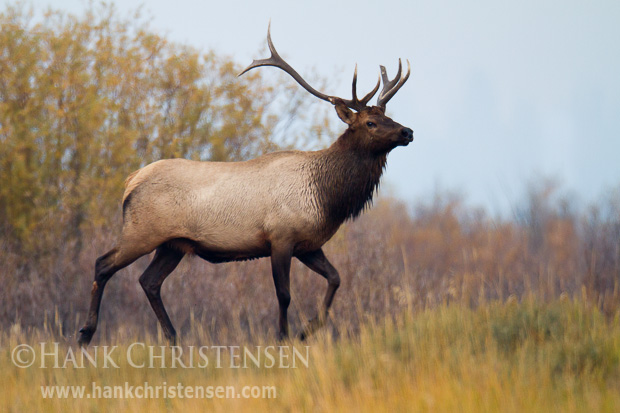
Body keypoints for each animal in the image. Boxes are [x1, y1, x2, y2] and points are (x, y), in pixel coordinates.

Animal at [80, 25, 414, 346]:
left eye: (388, 116)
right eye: (370, 123)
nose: (407, 131)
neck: (326, 197)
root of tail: (130, 181)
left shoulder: (308, 244)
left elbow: (336, 278)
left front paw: (307, 330)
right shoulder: (280, 237)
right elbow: (284, 294)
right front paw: (283, 337)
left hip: (172, 244)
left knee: (149, 281)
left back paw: (173, 338)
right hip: (141, 232)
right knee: (103, 264)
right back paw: (86, 332)